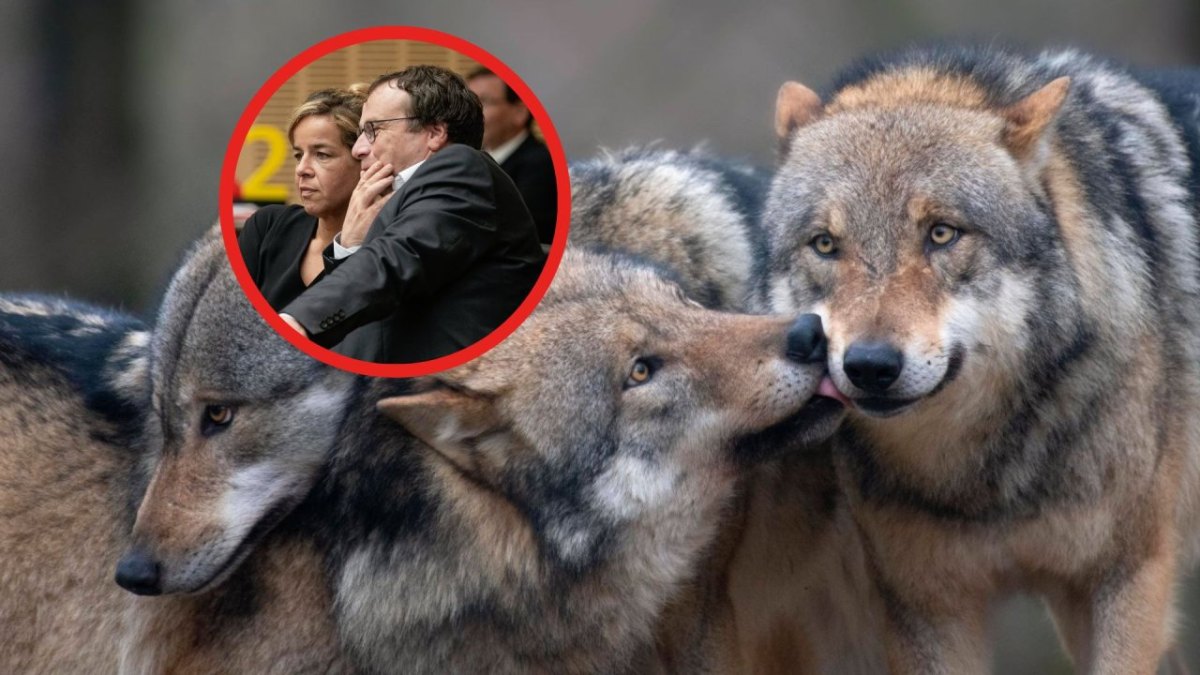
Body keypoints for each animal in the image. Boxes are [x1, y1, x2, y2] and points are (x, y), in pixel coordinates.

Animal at [765, 44, 1200, 673]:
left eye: (942, 233)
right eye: (825, 244)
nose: (869, 365)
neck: (985, 478)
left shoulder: (1129, 578)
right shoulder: (925, 609)